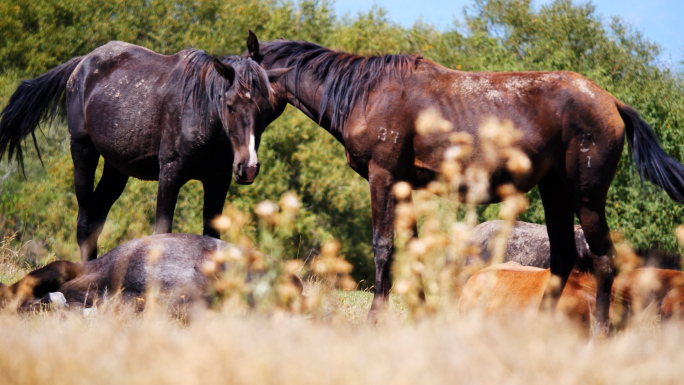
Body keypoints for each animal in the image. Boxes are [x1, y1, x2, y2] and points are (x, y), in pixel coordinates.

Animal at [246, 31, 684, 332]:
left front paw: (376, 318)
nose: (245, 165)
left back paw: (600, 330)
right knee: (562, 256)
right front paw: (421, 311)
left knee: (604, 260)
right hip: (555, 191)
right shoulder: (403, 186)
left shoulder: (382, 177)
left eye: (245, 87)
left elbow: (384, 247)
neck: (365, 94)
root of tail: (610, 101)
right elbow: (412, 248)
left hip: (587, 197)